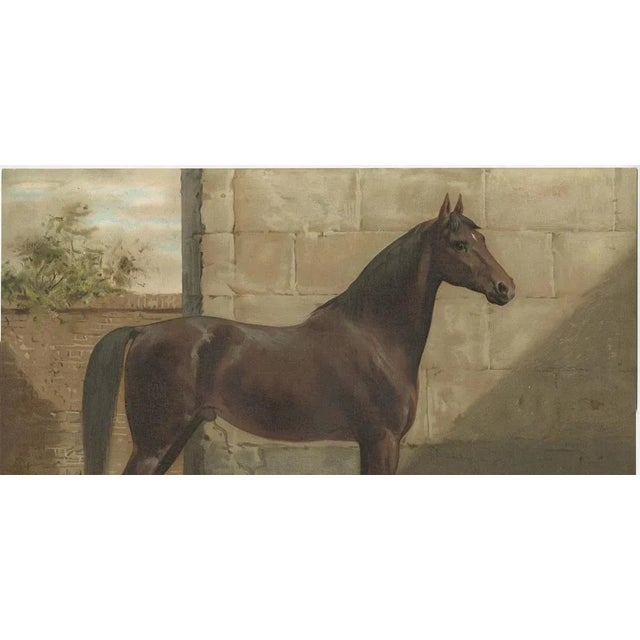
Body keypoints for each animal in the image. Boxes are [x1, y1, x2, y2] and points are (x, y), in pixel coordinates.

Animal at [82, 193, 515, 474]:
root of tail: (144, 330)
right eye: (459, 244)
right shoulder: (381, 439)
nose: (505, 287)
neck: (376, 337)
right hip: (154, 442)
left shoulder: (373, 442)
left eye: (481, 239)